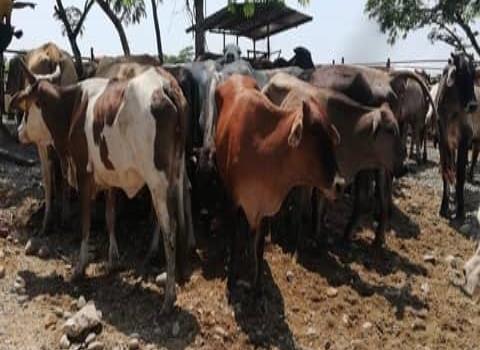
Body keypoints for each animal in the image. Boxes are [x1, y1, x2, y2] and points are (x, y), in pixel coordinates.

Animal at [11, 61, 188, 314]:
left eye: (26, 108)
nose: (19, 133)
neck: (72, 107)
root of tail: (165, 84)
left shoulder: (84, 174)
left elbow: (86, 222)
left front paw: (80, 267)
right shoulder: (111, 175)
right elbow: (110, 216)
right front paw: (113, 260)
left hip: (158, 181)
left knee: (169, 229)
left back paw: (168, 298)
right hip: (177, 175)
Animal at [216, 75, 340, 296]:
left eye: (332, 140)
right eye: (317, 140)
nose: (339, 184)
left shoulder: (264, 207)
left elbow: (258, 247)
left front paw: (257, 287)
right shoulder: (233, 201)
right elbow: (234, 241)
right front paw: (231, 283)